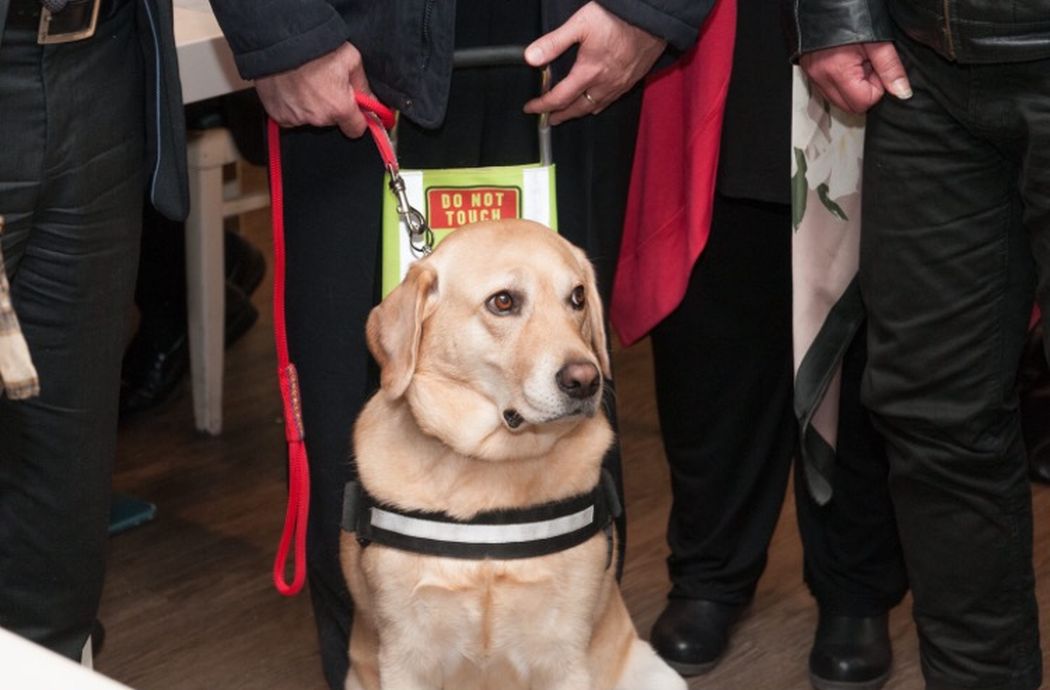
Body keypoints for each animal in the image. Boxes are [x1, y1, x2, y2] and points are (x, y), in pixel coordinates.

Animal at [340, 220, 684, 688]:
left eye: (577, 297)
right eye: (503, 301)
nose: (586, 380)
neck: (491, 466)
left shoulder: (563, 656)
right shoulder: (406, 657)